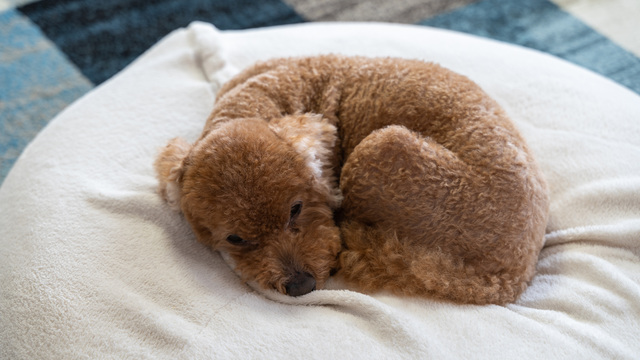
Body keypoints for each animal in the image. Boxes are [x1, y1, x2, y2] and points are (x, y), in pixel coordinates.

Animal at [155, 54, 552, 306]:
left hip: (380, 149)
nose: (301, 285)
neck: (263, 98)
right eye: (235, 239)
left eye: (296, 209)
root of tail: (512, 275)